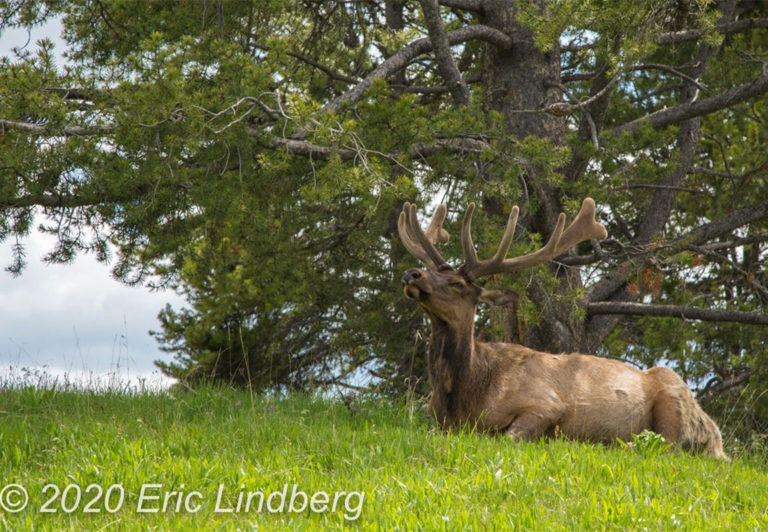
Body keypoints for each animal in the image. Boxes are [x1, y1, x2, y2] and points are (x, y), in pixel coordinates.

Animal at [399, 197, 727, 459]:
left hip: (674, 399)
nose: (412, 273)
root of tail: (716, 434)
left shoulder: (547, 404)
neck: (467, 393)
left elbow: (508, 436)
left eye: (458, 284)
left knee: (667, 446)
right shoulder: (432, 415)